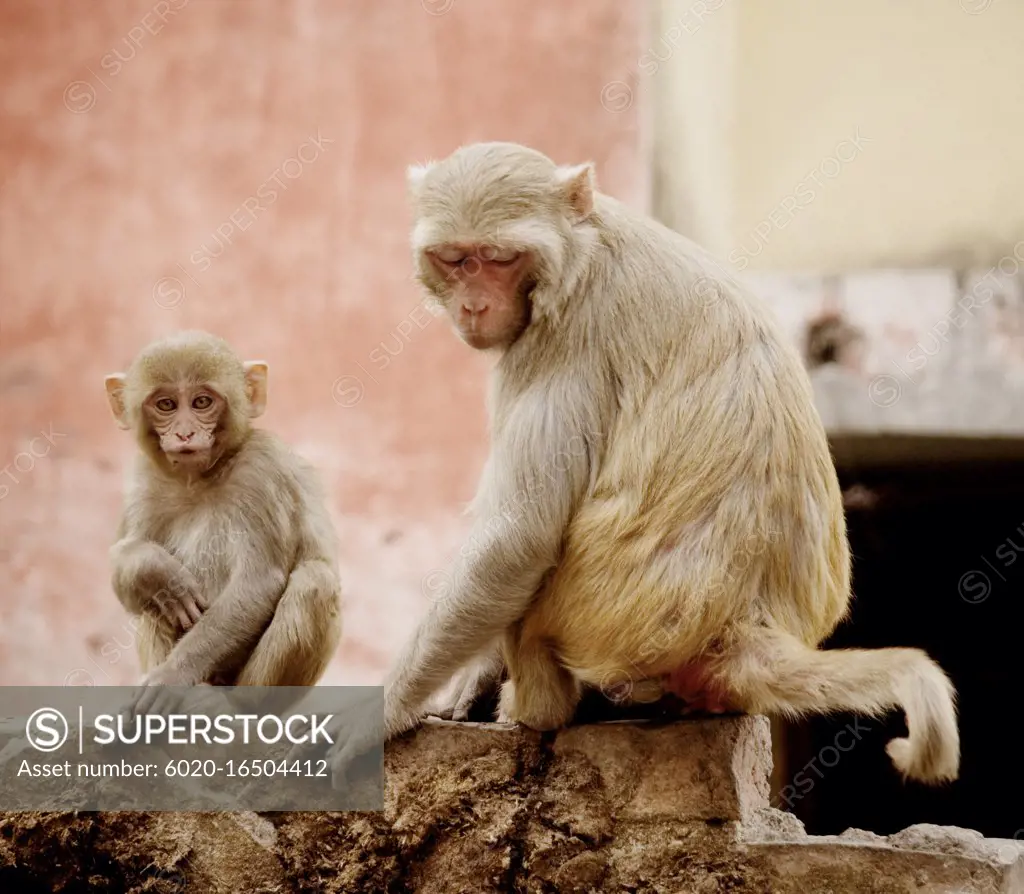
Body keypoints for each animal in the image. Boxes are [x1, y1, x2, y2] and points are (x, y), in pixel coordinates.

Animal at [106, 323, 342, 708]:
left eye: (202, 402)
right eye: (166, 404)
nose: (185, 432)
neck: (199, 480)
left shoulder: (262, 469)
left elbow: (258, 581)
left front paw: (172, 677)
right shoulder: (144, 481)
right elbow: (124, 576)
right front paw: (154, 571)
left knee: (314, 582)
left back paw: (237, 705)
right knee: (150, 603)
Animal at [317, 143, 958, 786]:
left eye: (499, 259)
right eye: (455, 259)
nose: (475, 304)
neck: (582, 240)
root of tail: (745, 626)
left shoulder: (556, 338)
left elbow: (516, 540)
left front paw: (385, 710)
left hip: (601, 622)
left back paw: (541, 710)